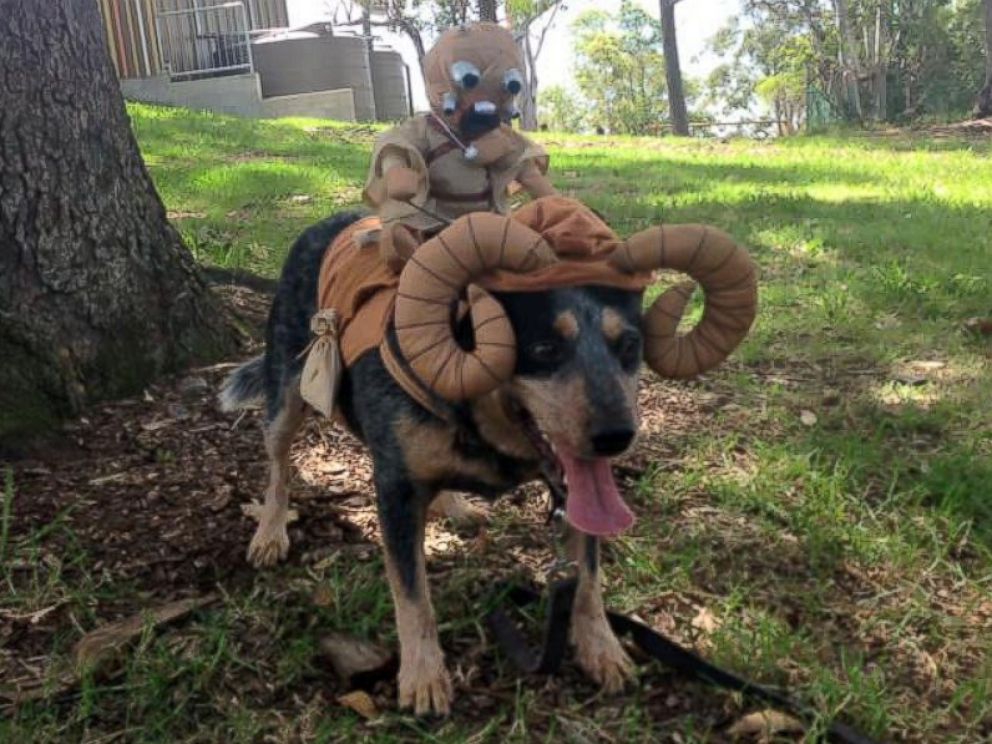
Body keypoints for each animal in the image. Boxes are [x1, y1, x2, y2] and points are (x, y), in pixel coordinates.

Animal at [221, 208, 756, 716]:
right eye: (543, 348)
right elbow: (412, 596)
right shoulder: (394, 490)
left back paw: (454, 506)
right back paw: (270, 533)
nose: (616, 437)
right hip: (286, 389)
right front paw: (423, 678)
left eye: (629, 345)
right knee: (278, 466)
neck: (480, 423)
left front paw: (602, 649)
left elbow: (588, 578)